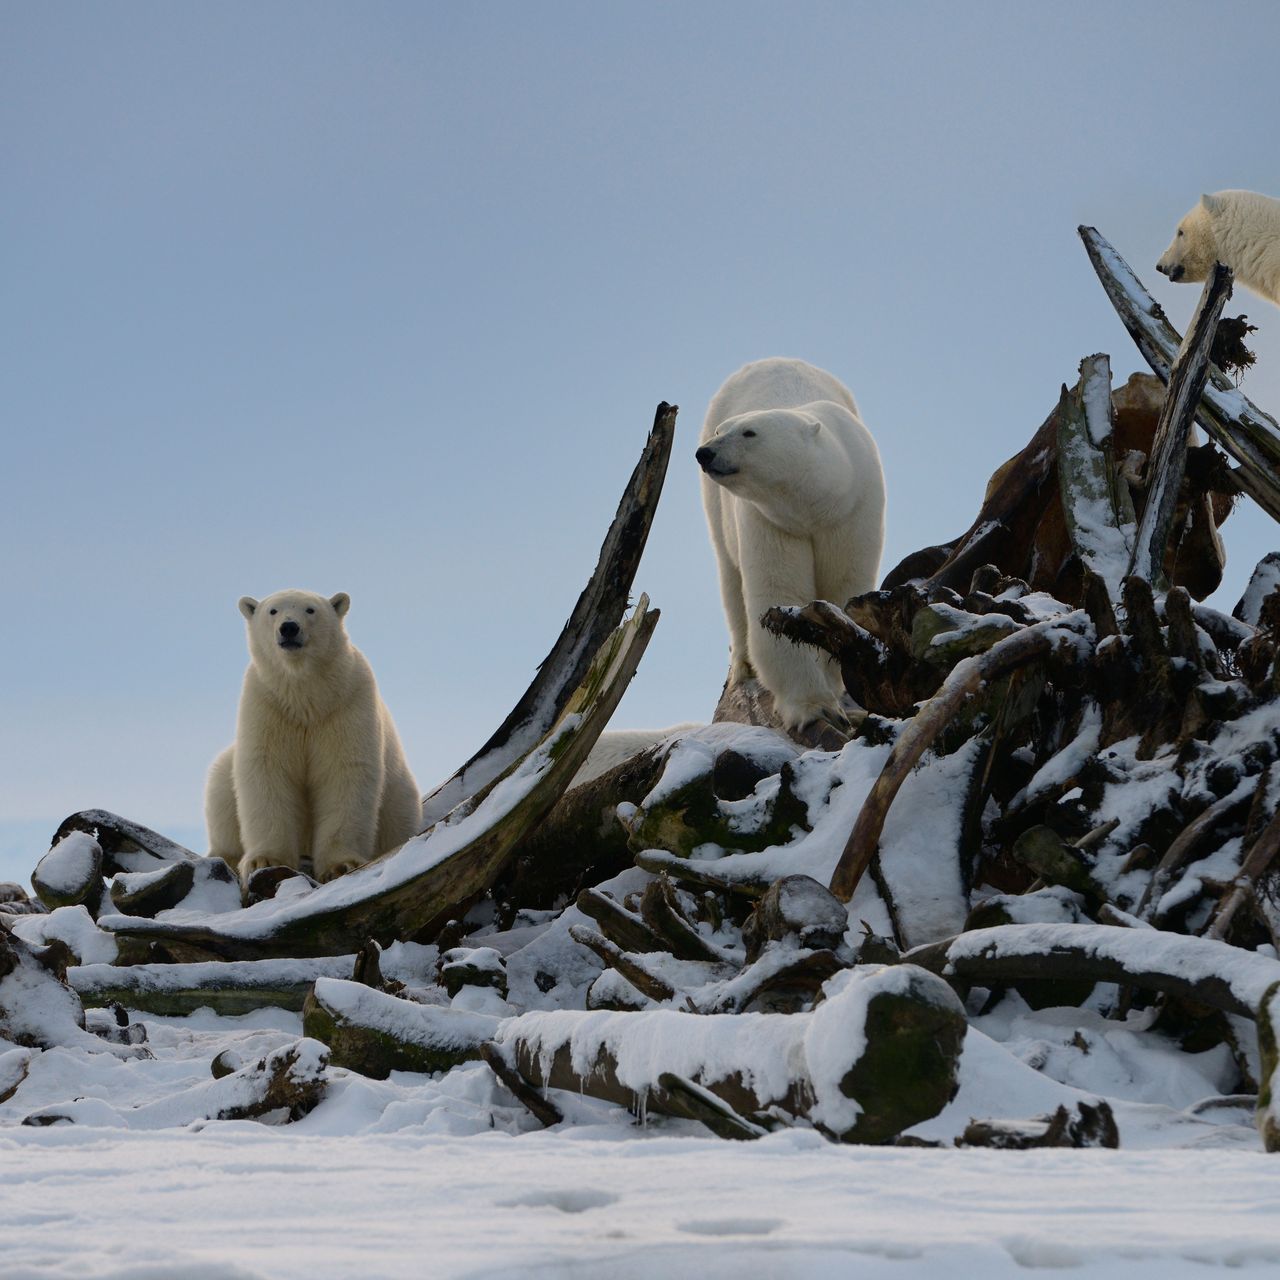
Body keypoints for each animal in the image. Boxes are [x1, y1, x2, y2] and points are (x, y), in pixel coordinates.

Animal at [205, 589, 421, 884]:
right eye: (273, 610)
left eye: (310, 610)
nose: (289, 627)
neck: (306, 694)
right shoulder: (268, 705)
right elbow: (267, 770)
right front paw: (265, 859)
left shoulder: (346, 703)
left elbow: (344, 772)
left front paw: (341, 865)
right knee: (220, 789)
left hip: (398, 795)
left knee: (399, 815)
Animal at [696, 357, 886, 736]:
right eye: (722, 430)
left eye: (749, 432)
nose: (705, 452)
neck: (815, 504)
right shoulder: (770, 520)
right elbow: (778, 594)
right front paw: (815, 708)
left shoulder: (853, 511)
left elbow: (842, 588)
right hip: (716, 507)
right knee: (730, 575)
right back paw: (743, 664)